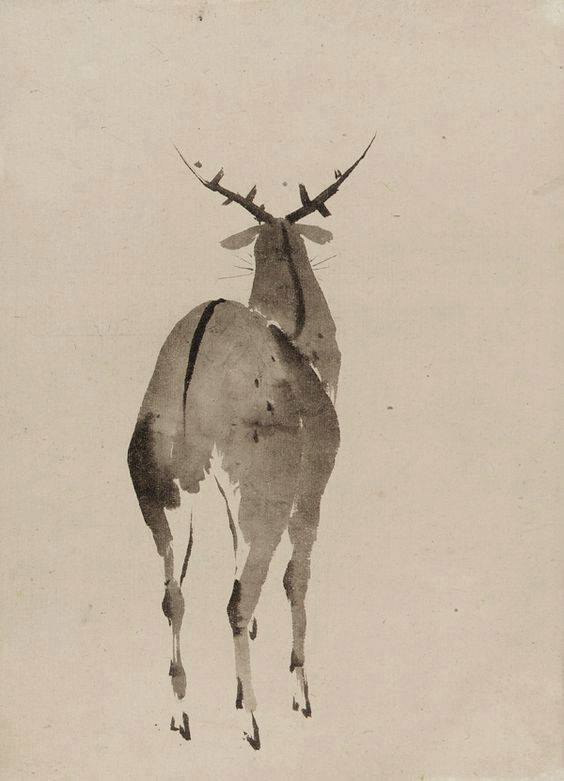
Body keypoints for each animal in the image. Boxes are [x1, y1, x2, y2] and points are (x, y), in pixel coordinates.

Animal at [127, 135, 375, 749]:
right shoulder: (311, 490)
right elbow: (296, 579)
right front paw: (300, 695)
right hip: (261, 493)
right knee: (239, 597)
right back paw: (253, 723)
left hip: (158, 490)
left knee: (174, 595)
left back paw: (182, 715)